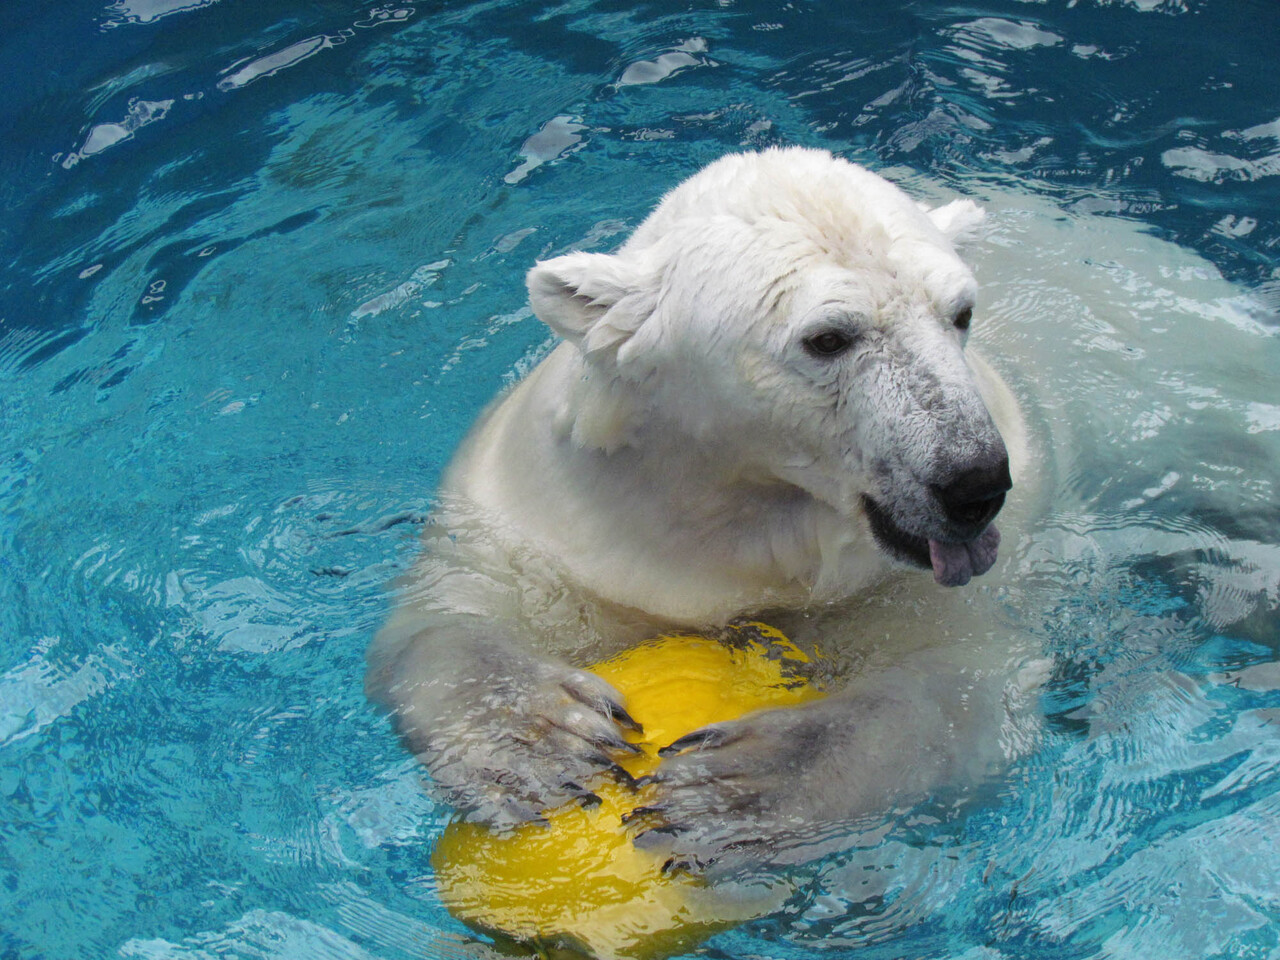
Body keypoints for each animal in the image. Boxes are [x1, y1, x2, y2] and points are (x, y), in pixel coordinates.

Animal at [366, 146, 1034, 875]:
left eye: (960, 313)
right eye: (828, 338)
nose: (974, 482)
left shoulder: (899, 585)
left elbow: (965, 680)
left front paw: (729, 790)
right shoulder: (542, 523)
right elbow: (445, 618)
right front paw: (544, 739)